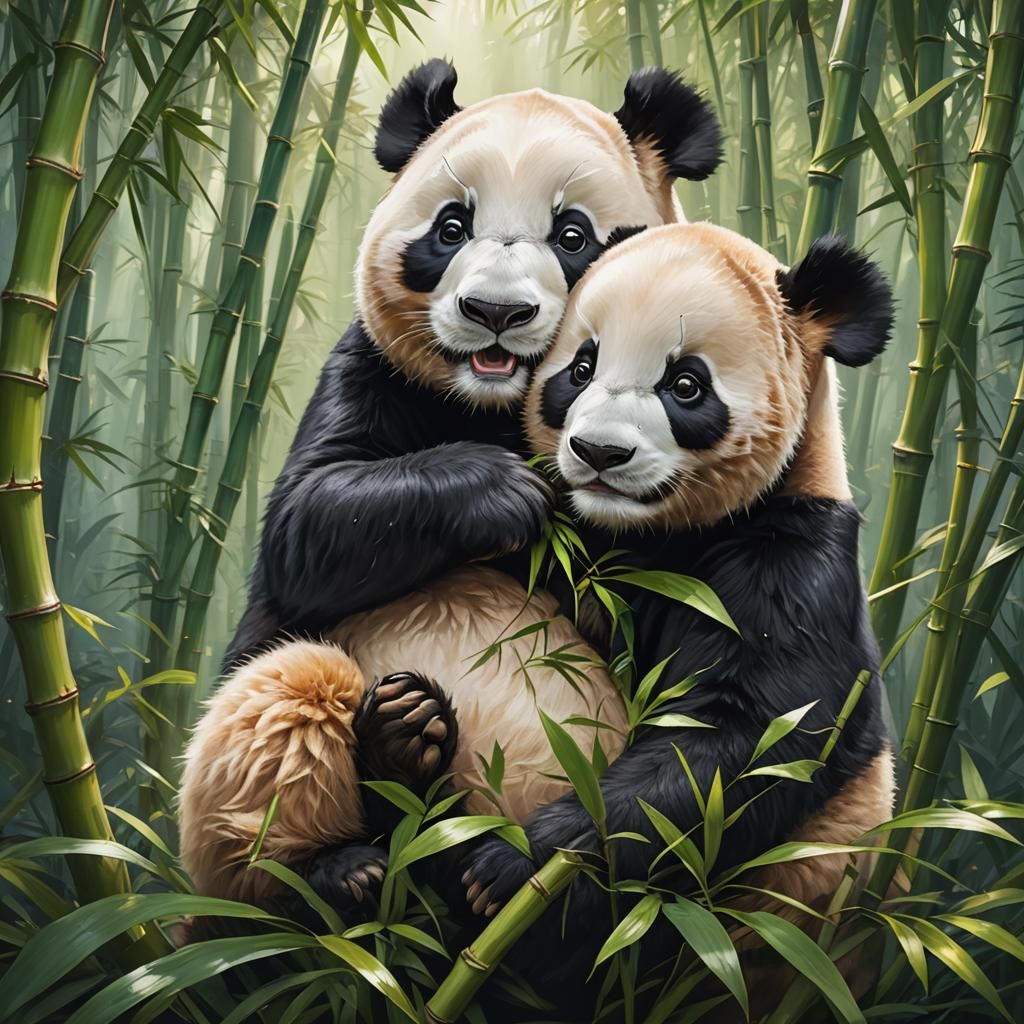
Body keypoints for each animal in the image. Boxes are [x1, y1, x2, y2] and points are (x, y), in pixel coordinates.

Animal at [179, 63, 723, 915]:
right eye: (451, 227)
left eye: (572, 235)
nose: (496, 312)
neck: (493, 404)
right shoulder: (370, 370)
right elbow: (307, 520)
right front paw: (505, 493)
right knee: (282, 700)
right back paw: (346, 848)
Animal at [457, 221, 897, 1003]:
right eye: (581, 367)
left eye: (685, 384)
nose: (598, 452)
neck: (654, 534)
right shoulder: (582, 551)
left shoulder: (793, 568)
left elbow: (736, 743)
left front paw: (513, 862)